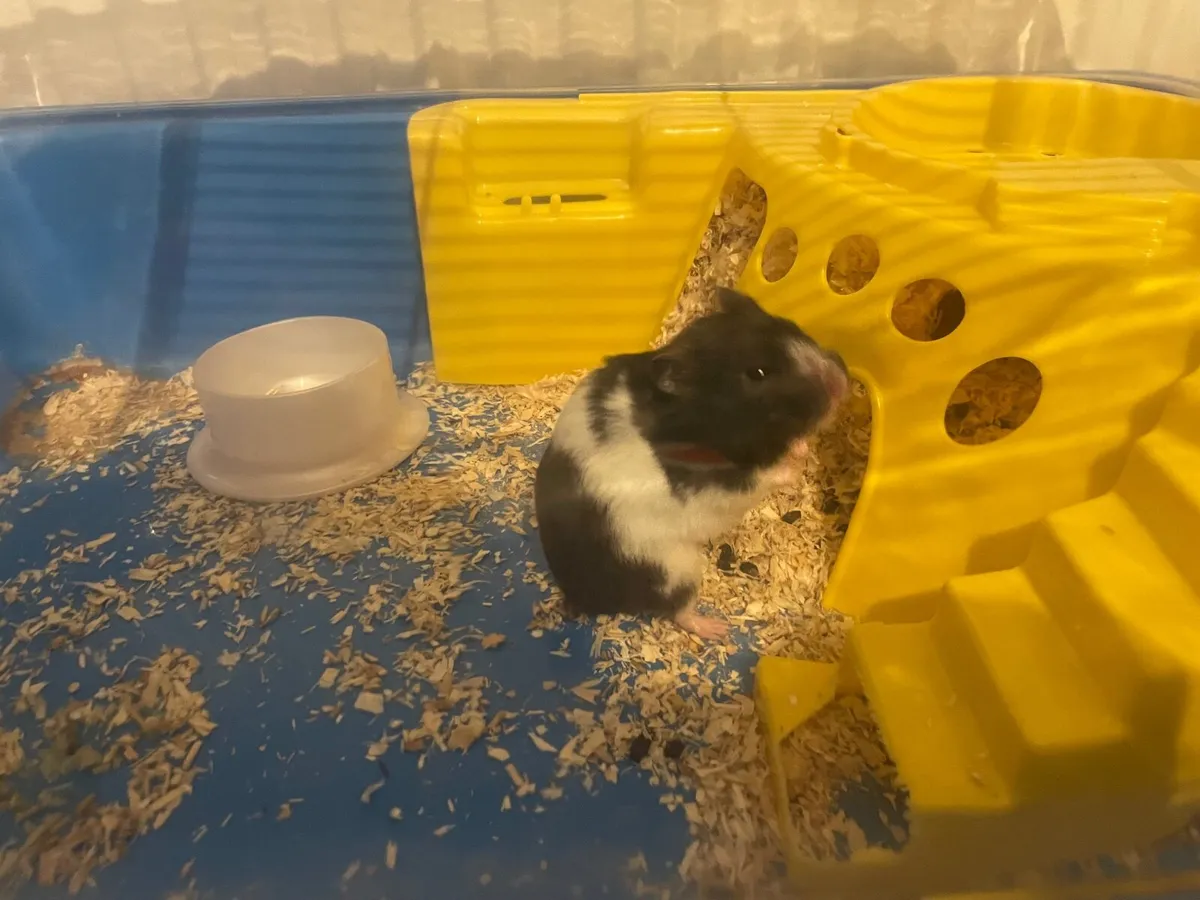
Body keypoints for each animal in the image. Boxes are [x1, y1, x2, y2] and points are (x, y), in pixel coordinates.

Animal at [533, 287, 849, 639]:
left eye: (789, 324)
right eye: (757, 373)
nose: (842, 381)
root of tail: (578, 597)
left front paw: (800, 447)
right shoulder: (720, 487)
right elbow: (760, 476)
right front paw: (796, 468)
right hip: (676, 568)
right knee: (677, 610)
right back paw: (717, 629)